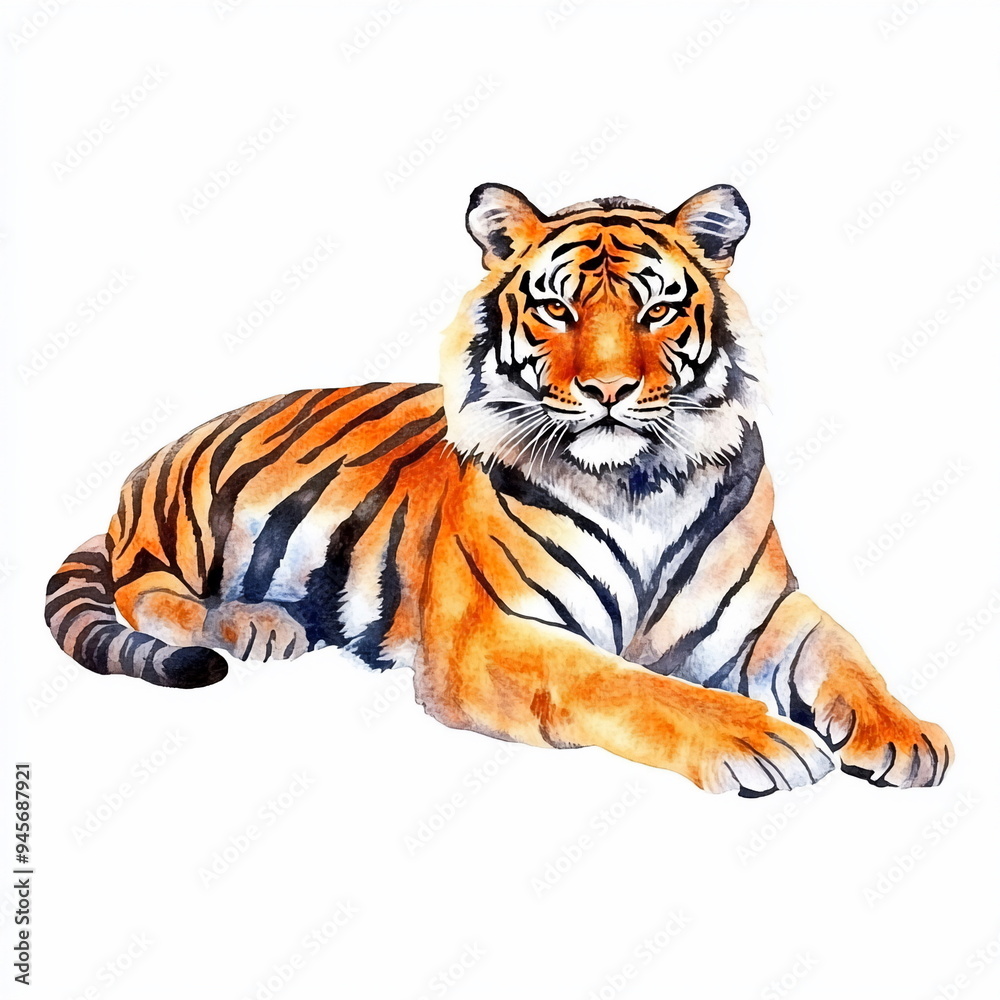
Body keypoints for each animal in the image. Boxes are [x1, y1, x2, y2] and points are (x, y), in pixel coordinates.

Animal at [44, 182, 953, 795]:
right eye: (556, 309)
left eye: (657, 311)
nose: (609, 390)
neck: (639, 483)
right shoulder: (492, 636)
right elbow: (626, 684)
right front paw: (759, 740)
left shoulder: (769, 612)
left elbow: (844, 655)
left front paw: (906, 735)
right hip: (193, 512)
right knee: (146, 589)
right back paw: (256, 623)